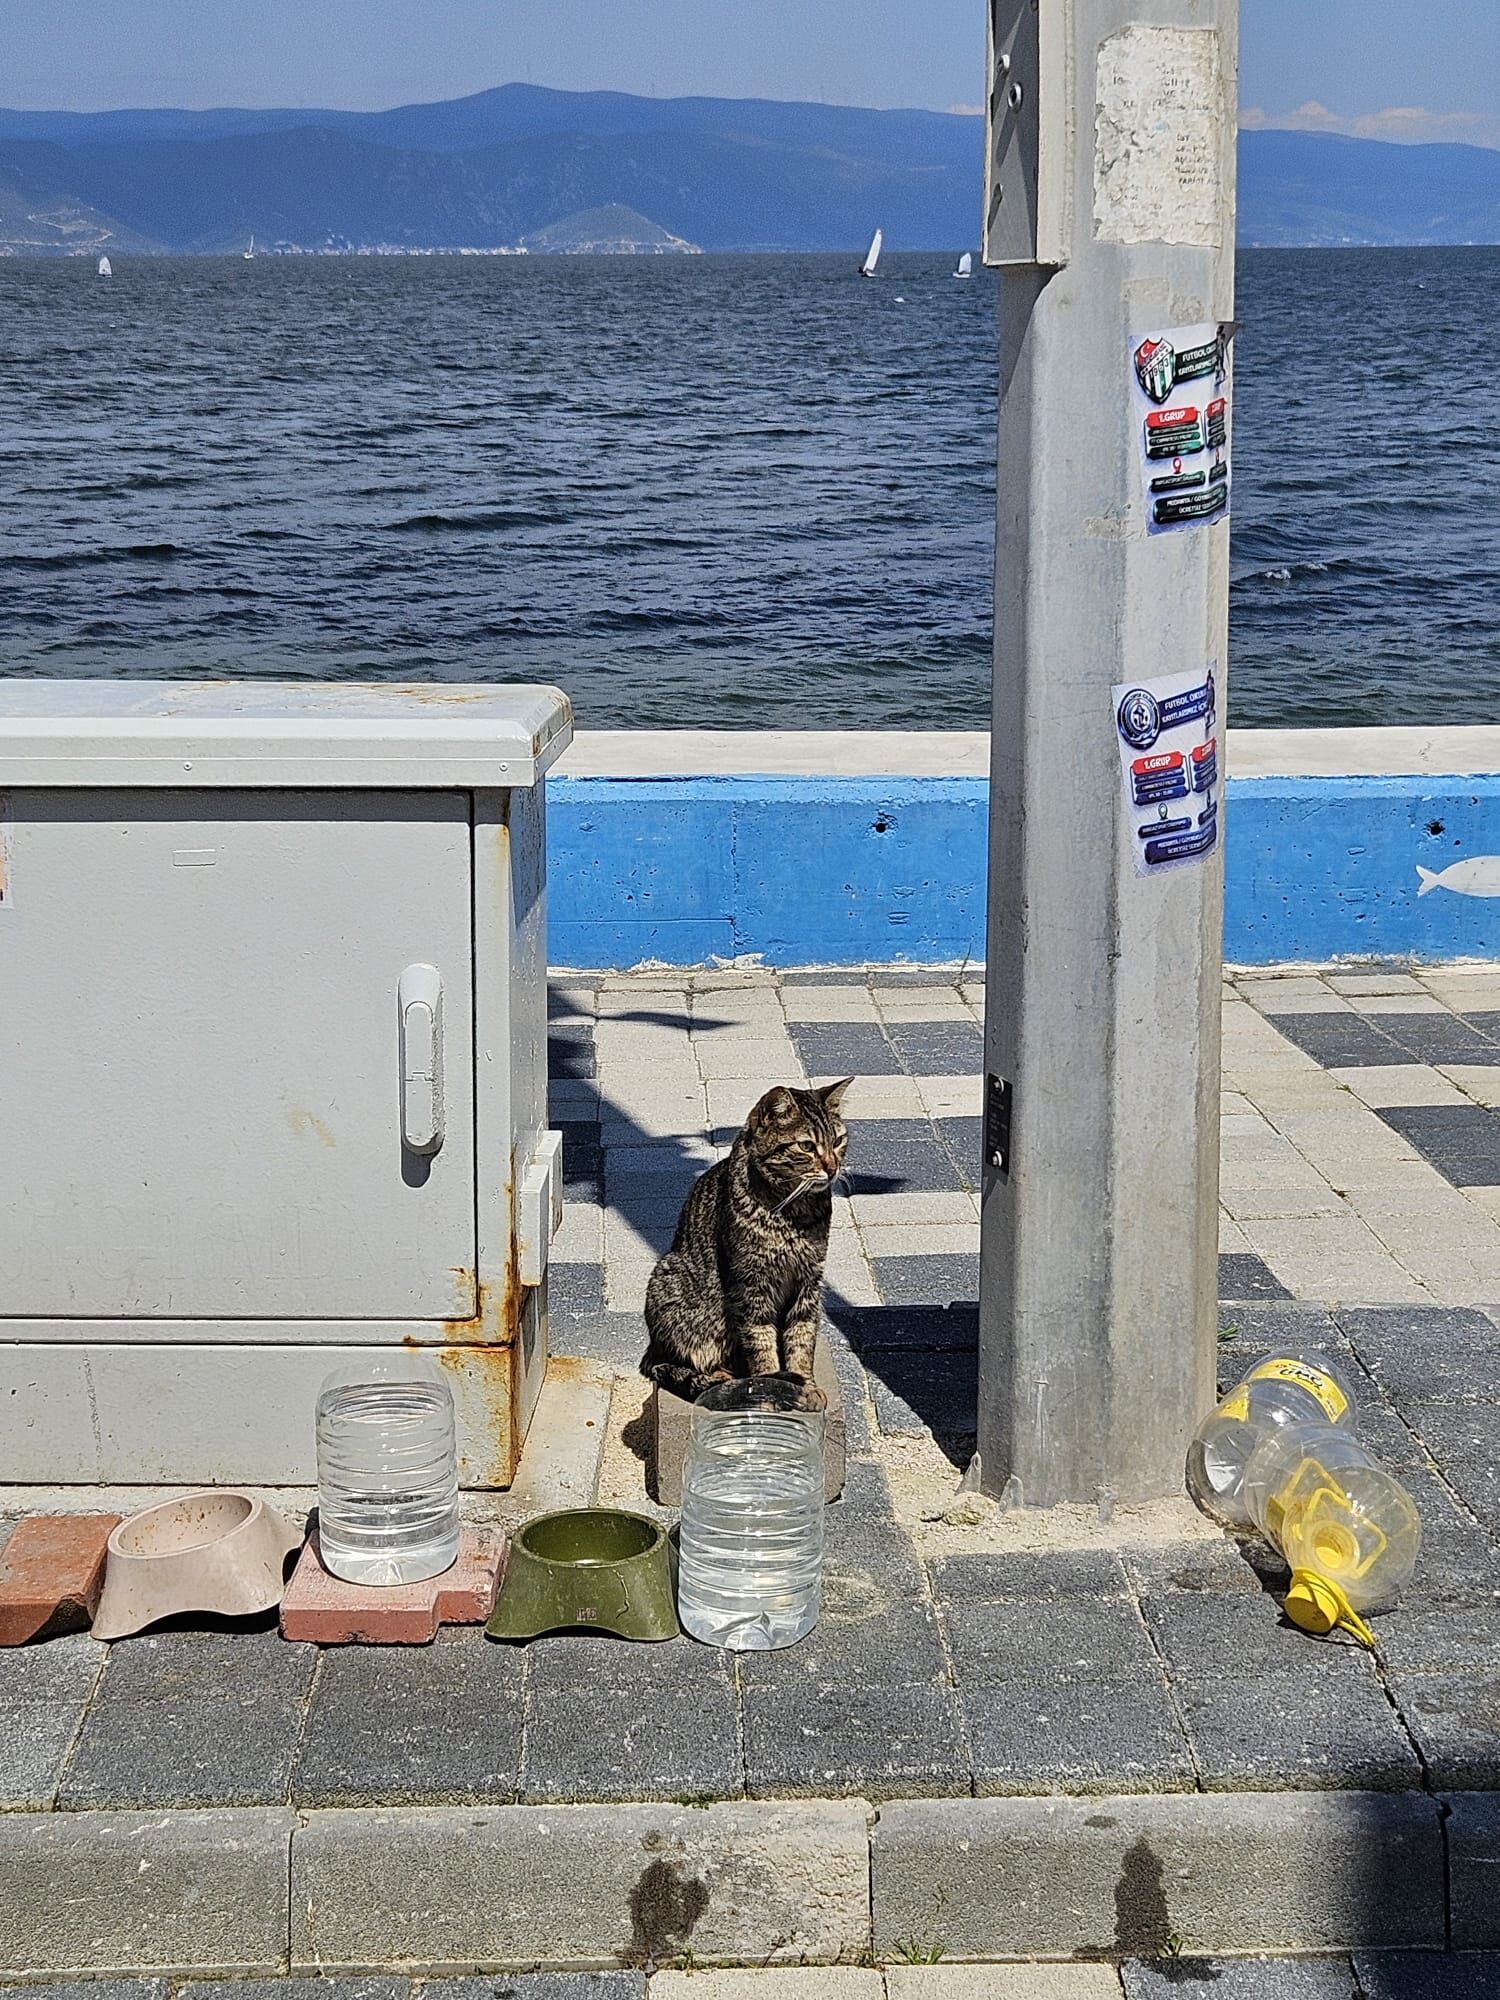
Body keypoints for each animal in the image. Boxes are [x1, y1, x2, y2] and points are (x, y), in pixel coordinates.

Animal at [641, 1078, 853, 1402]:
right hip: (670, 1277)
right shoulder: (750, 1282)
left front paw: (806, 1382)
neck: (794, 1213)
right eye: (806, 1146)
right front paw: (770, 1384)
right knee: (676, 1362)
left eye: (838, 1140)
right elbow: (760, 1338)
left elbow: (802, 1337)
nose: (832, 1168)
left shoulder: (809, 1281)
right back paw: (721, 1376)